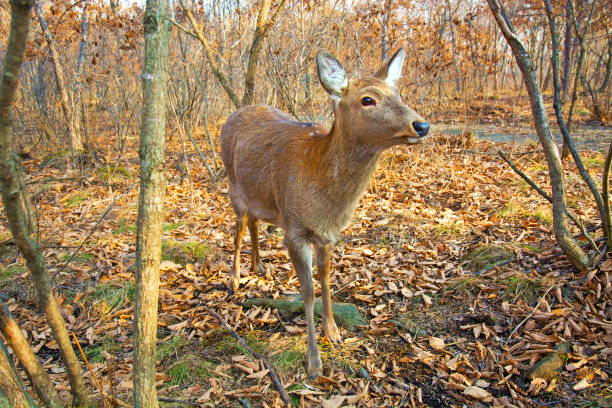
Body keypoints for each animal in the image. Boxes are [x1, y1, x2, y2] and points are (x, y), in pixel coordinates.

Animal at [221, 48, 430, 380]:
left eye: (398, 94)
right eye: (367, 99)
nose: (421, 126)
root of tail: (233, 114)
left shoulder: (328, 234)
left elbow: (327, 277)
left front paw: (333, 332)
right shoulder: (294, 230)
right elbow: (307, 292)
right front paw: (313, 362)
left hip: (260, 195)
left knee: (253, 222)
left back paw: (259, 266)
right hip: (232, 183)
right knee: (238, 228)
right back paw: (236, 278)